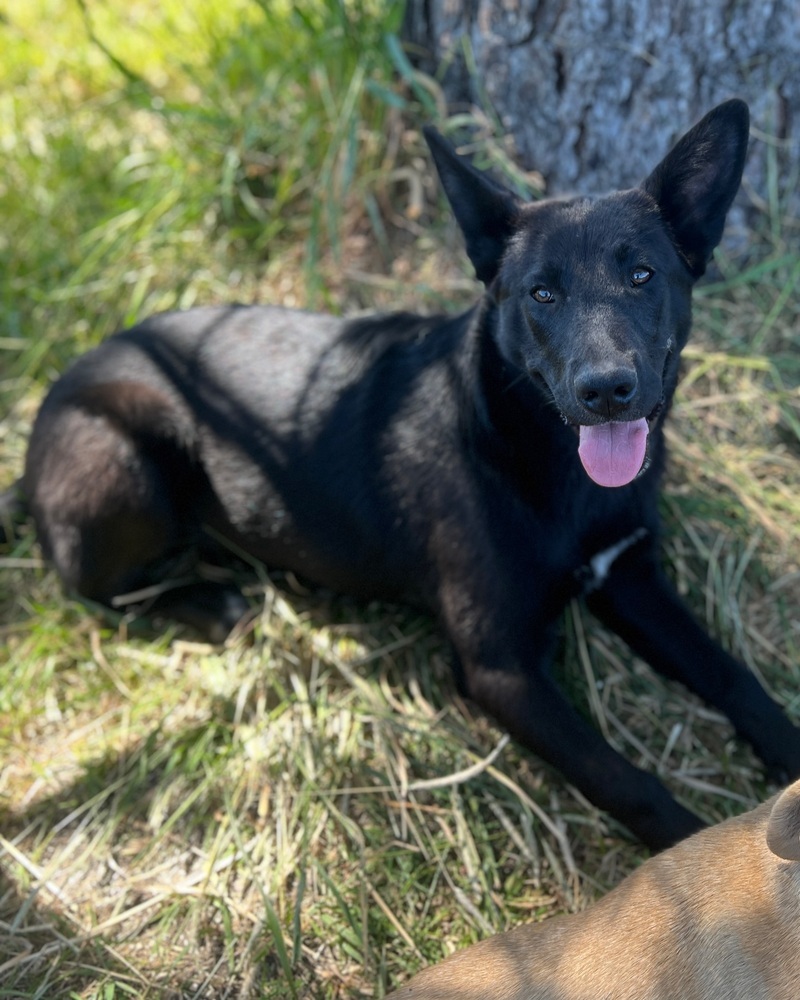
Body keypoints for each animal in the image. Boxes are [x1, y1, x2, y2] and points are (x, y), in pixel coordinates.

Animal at [10, 101, 800, 848]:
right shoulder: (499, 668)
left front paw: (785, 748)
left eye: (642, 275)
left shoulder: (630, 578)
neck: (547, 465)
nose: (607, 390)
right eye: (541, 294)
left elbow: (731, 672)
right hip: (132, 454)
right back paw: (211, 602)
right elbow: (621, 777)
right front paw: (686, 850)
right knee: (97, 586)